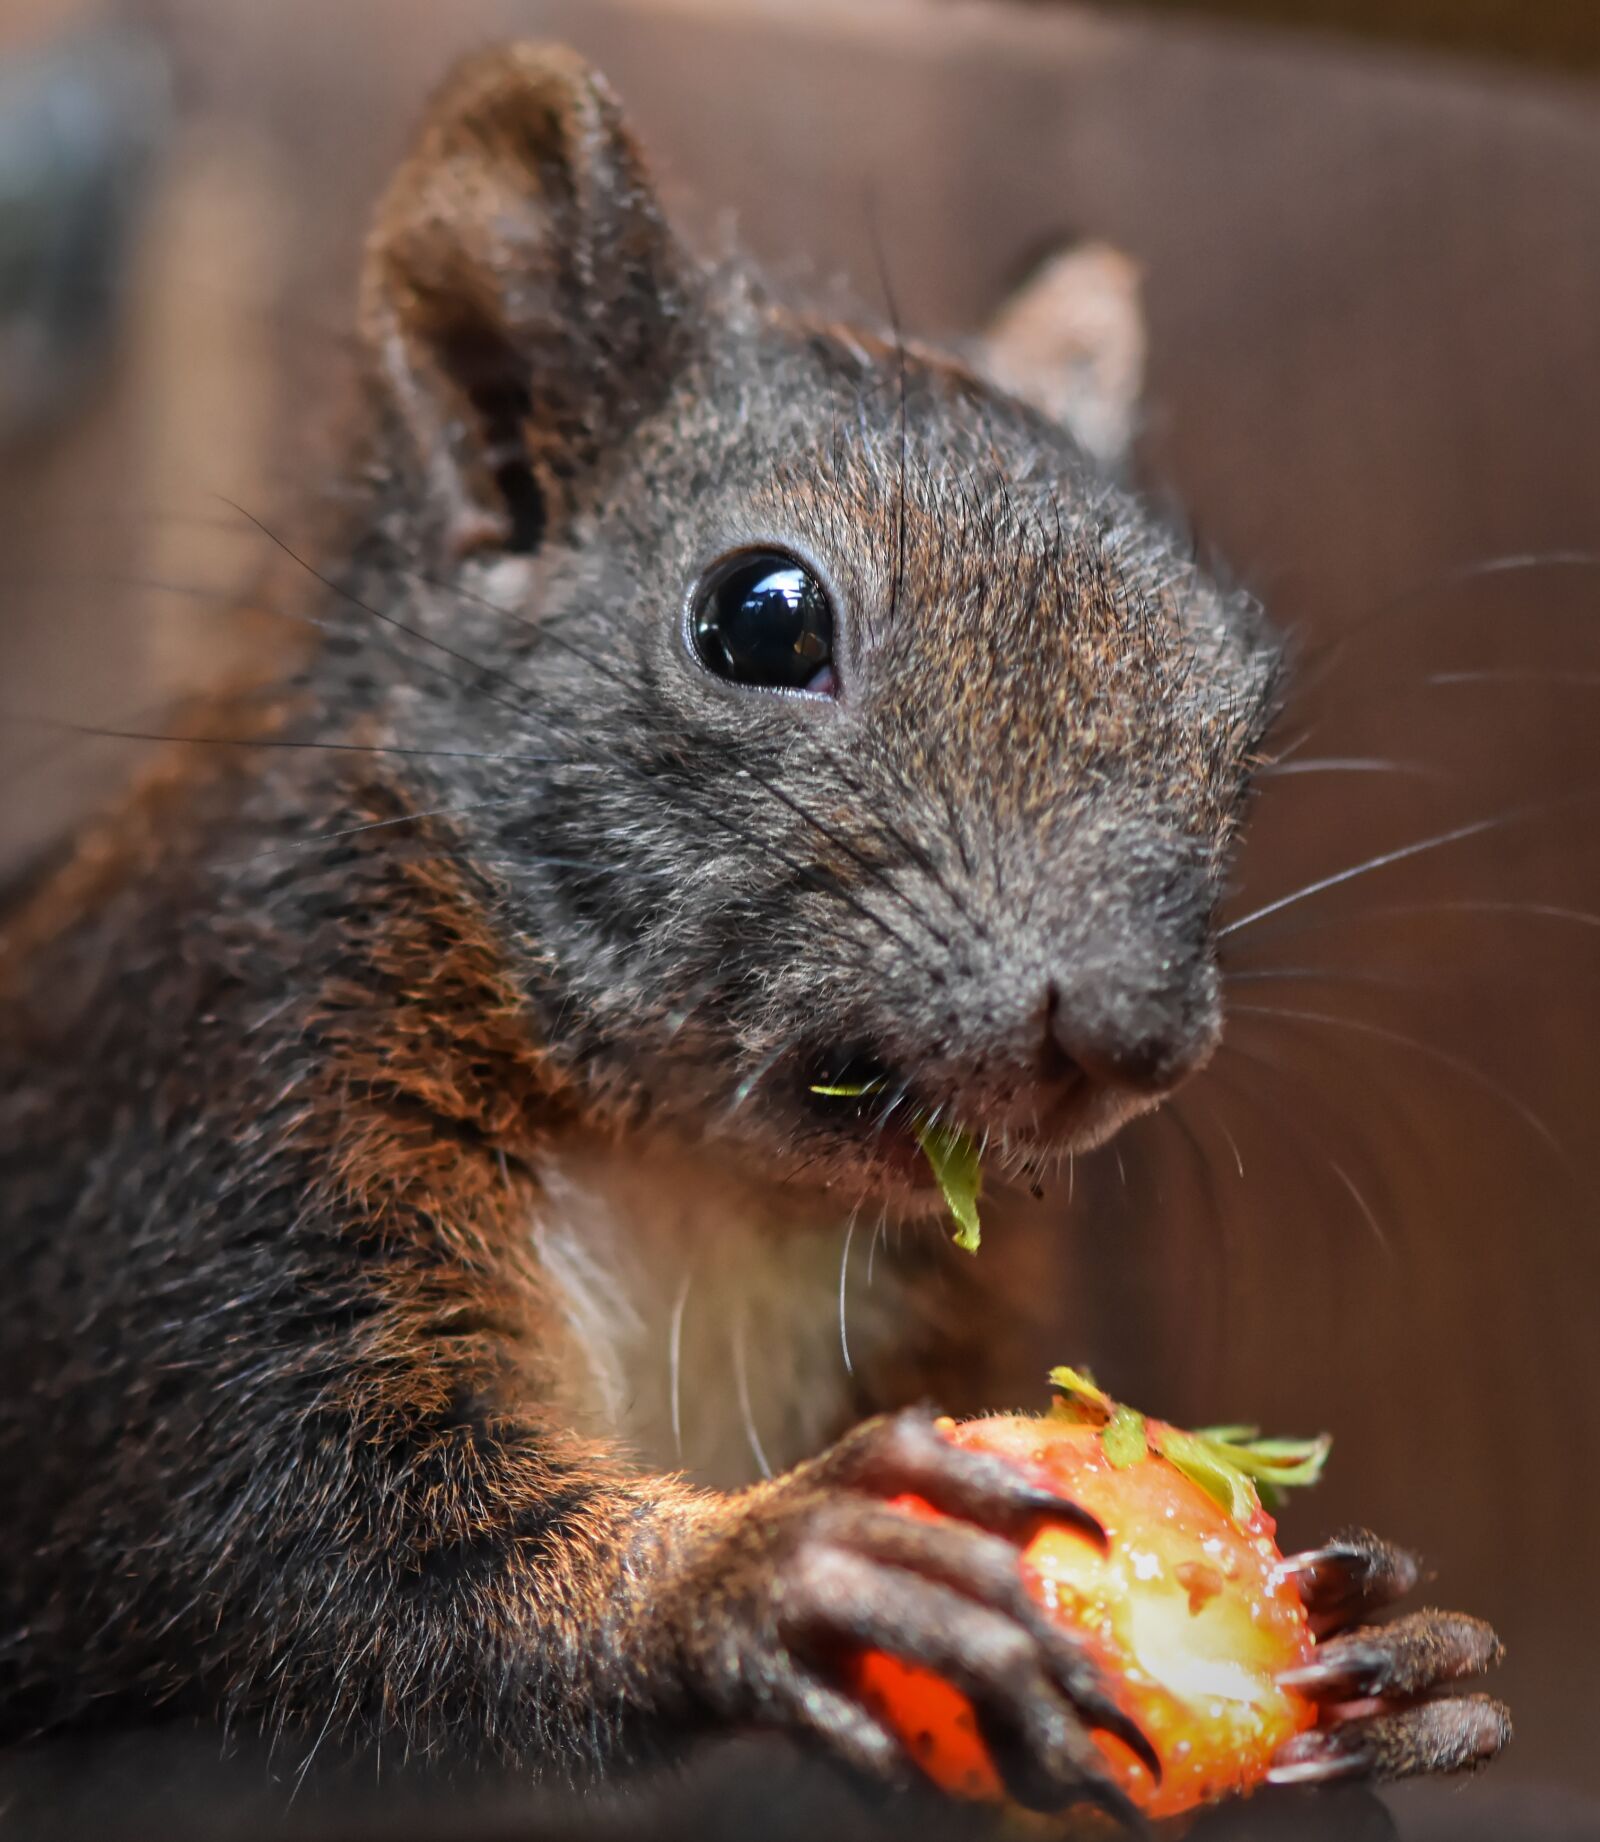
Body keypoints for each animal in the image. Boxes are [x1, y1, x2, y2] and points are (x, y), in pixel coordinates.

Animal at [0, 44, 1509, 1822]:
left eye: (1244, 700)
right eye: (761, 617)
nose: (1136, 1033)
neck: (692, 1175)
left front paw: (1401, 1654)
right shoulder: (210, 1146)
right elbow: (314, 1556)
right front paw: (762, 1571)